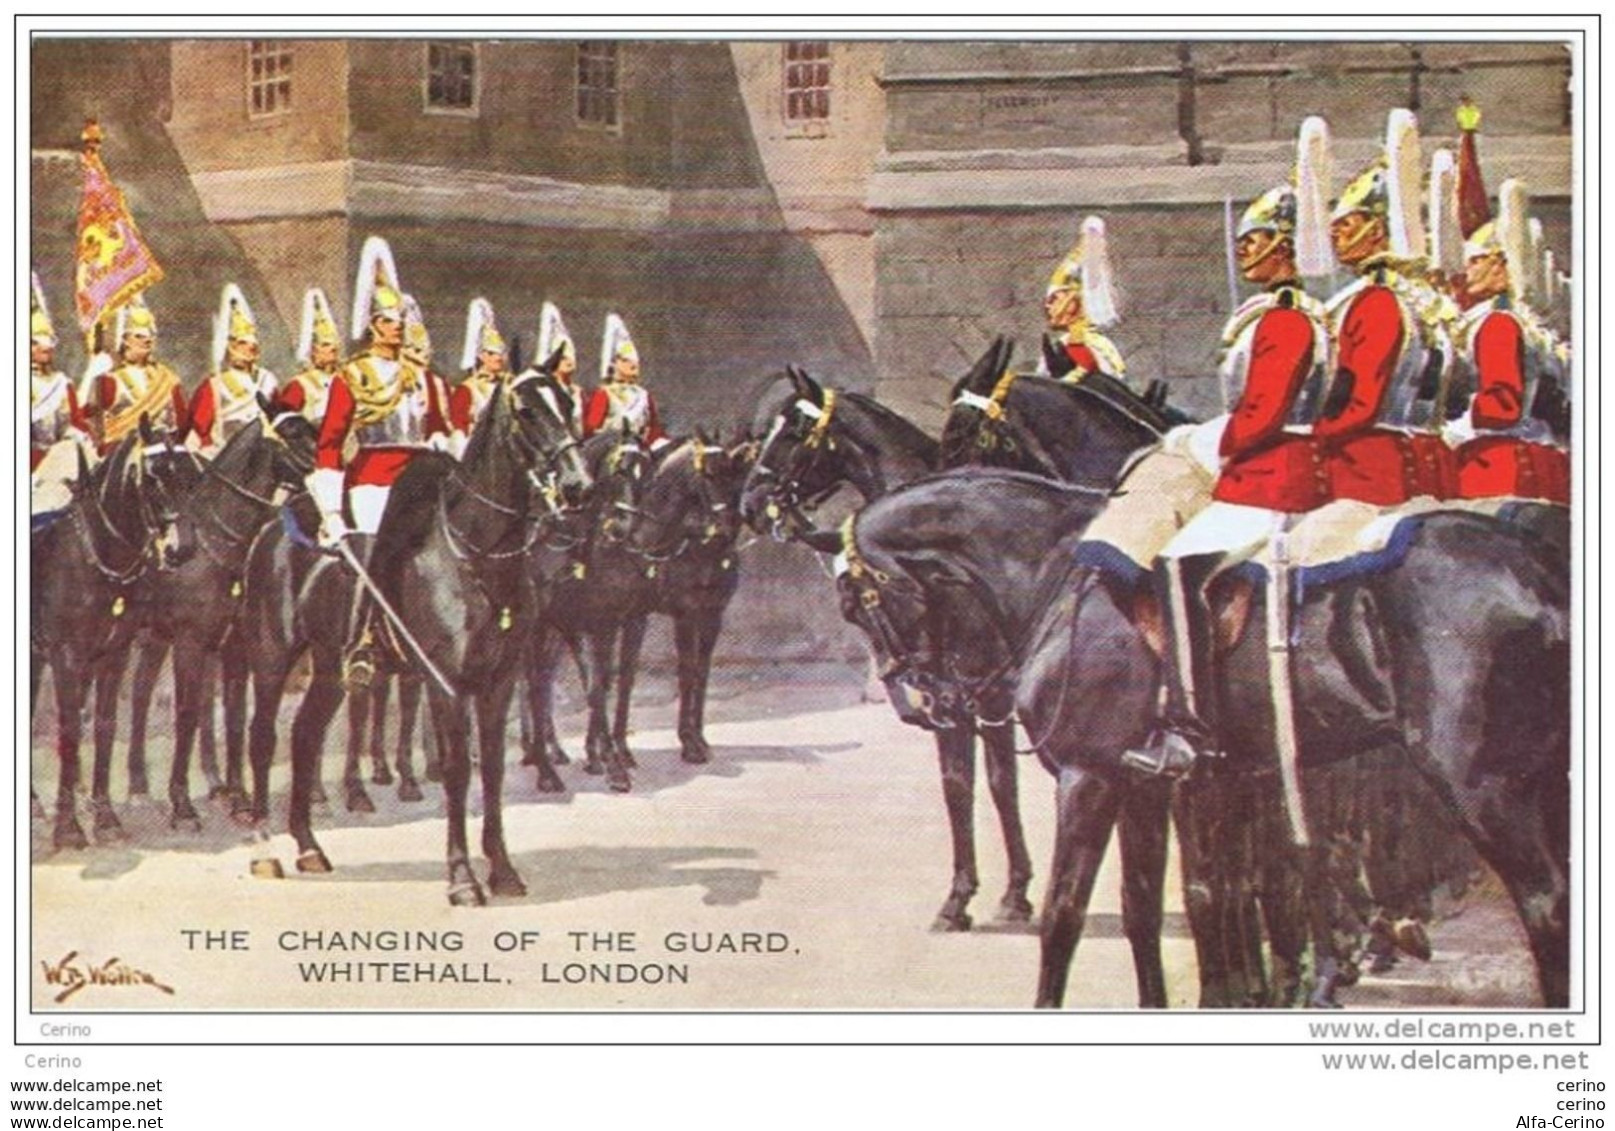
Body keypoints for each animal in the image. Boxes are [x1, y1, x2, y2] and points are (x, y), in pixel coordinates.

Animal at [29, 423, 201, 846]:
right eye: (153, 477)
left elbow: (105, 725)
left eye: (191, 477)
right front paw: (68, 827)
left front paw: (105, 817)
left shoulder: (114, 653)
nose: (181, 549)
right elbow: (70, 729)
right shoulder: (66, 656)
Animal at [820, 468, 1563, 1008]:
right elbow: (1141, 911)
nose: (923, 701)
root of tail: (1536, 564)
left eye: (858, 605)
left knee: (1543, 902)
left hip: (1479, 786)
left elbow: (1064, 915)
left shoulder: (1089, 780)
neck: (1056, 570)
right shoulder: (1143, 786)